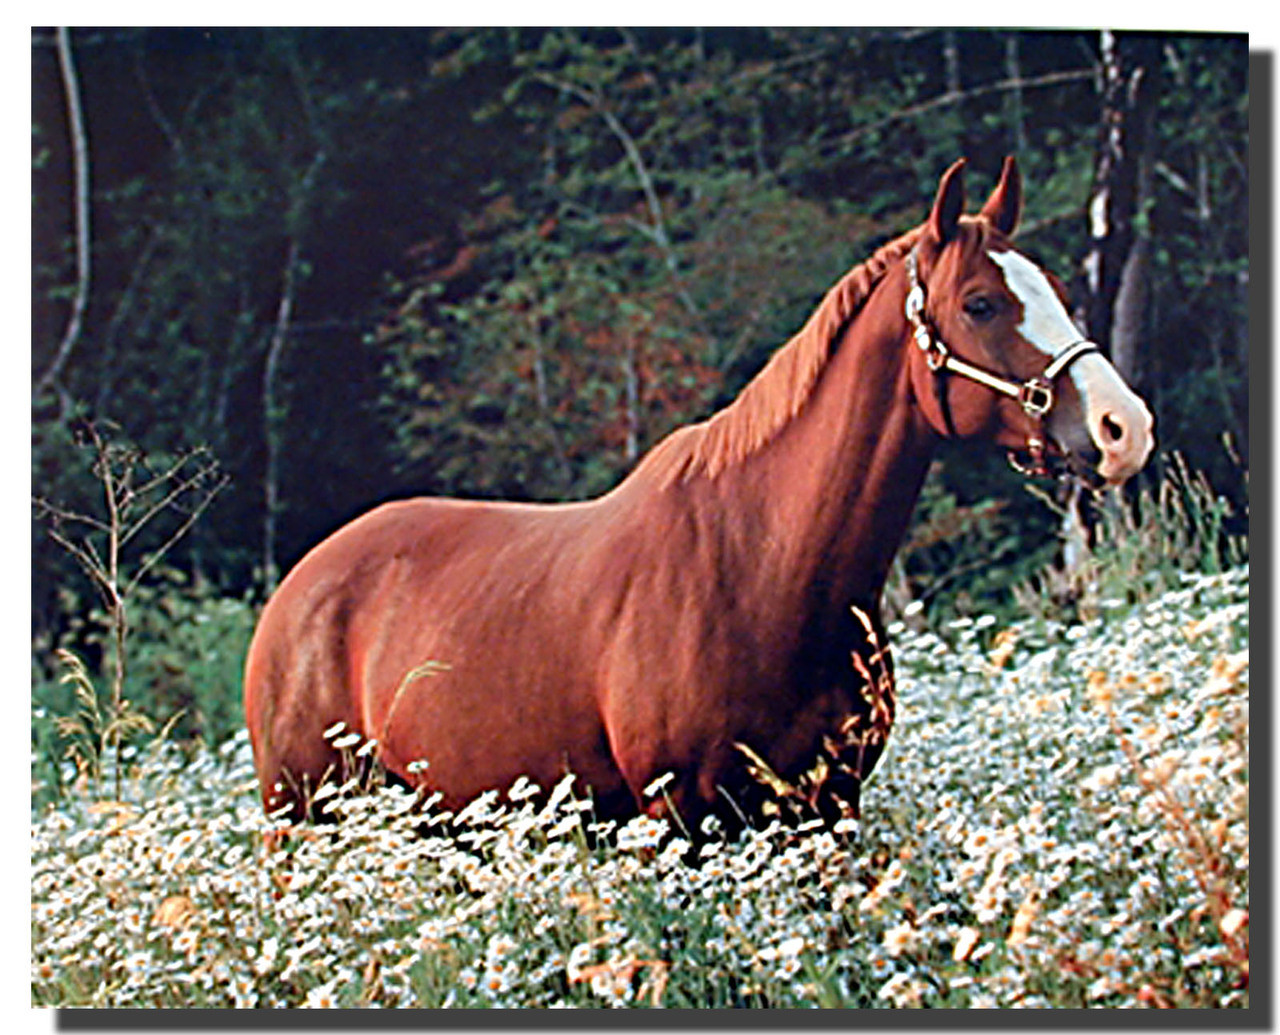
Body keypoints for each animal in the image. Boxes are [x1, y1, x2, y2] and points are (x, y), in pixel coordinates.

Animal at [244, 157, 1154, 832]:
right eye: (981, 303)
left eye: (1055, 289)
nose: (1124, 427)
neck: (766, 566)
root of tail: (296, 591)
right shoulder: (678, 816)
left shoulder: (827, 809)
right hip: (308, 818)